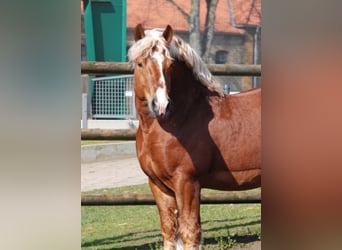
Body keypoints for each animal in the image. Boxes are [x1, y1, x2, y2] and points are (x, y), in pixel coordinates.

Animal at [128, 23, 262, 250]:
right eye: (140, 64)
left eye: (169, 65)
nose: (161, 105)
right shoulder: (158, 186)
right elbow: (169, 232)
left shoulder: (187, 183)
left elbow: (190, 233)